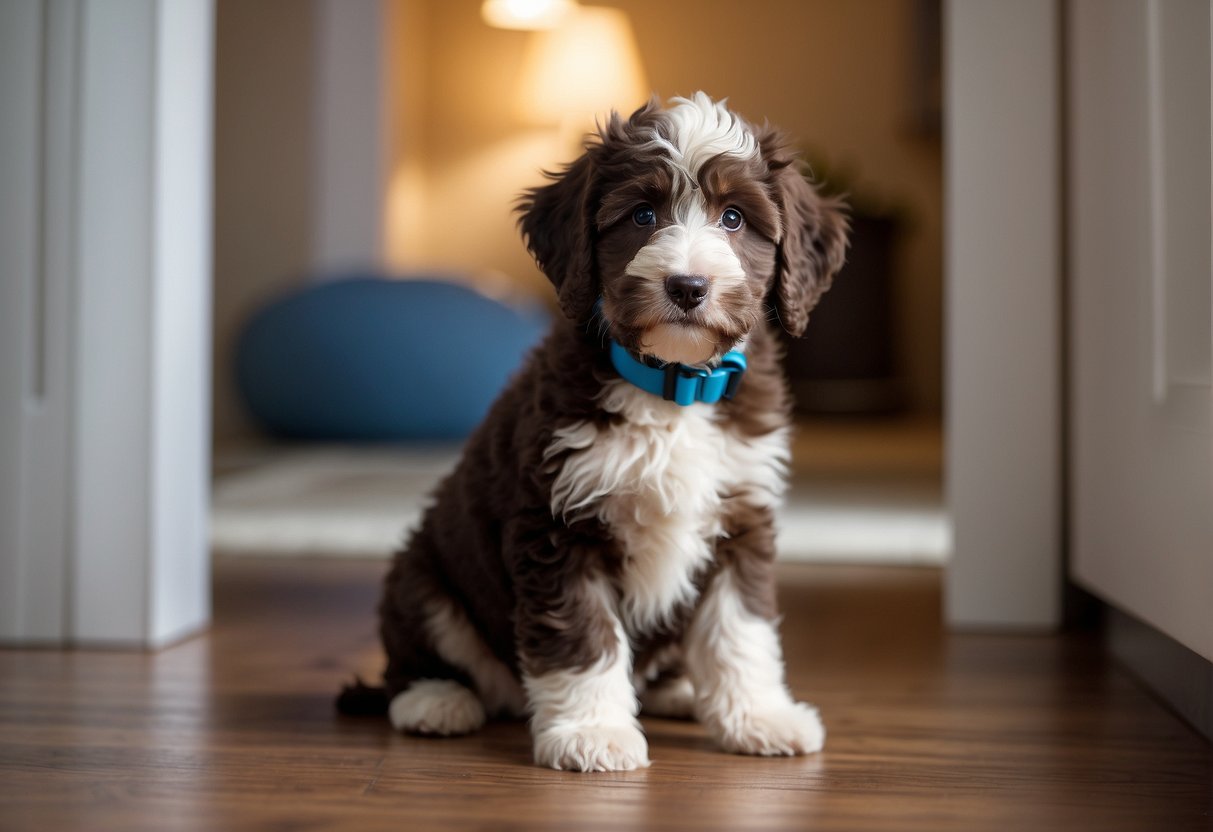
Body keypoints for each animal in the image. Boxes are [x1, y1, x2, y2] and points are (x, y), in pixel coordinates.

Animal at [342, 92, 849, 776]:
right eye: (641, 214)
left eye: (735, 218)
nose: (687, 286)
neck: (671, 388)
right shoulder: (557, 525)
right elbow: (583, 638)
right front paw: (593, 733)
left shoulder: (741, 517)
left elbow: (741, 630)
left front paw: (758, 717)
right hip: (424, 573)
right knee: (416, 655)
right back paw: (437, 701)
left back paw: (681, 691)